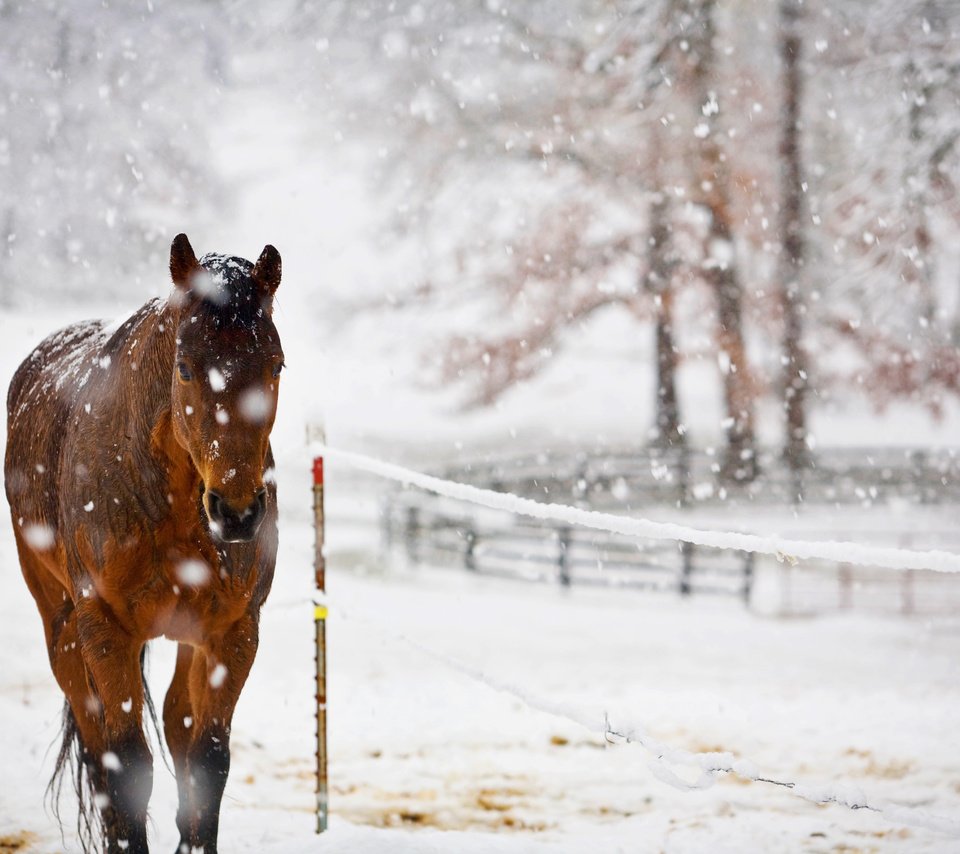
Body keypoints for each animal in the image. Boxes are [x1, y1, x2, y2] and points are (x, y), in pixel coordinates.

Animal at [6, 234, 284, 854]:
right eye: (184, 368)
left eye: (276, 364)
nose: (236, 511)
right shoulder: (106, 629)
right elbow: (128, 763)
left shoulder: (234, 633)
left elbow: (207, 759)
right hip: (62, 628)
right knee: (97, 745)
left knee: (178, 724)